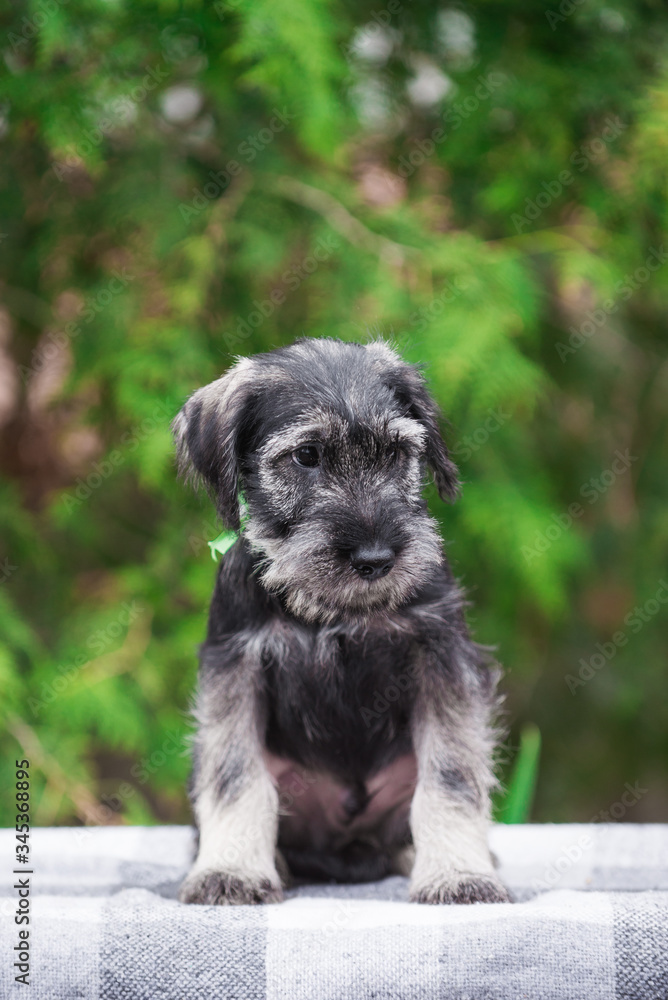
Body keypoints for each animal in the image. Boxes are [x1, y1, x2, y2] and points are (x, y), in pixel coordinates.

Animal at [171, 336, 506, 908]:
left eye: (396, 452)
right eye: (306, 455)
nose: (375, 558)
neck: (333, 611)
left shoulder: (442, 656)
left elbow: (451, 775)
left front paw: (459, 875)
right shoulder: (236, 665)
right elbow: (236, 777)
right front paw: (231, 871)